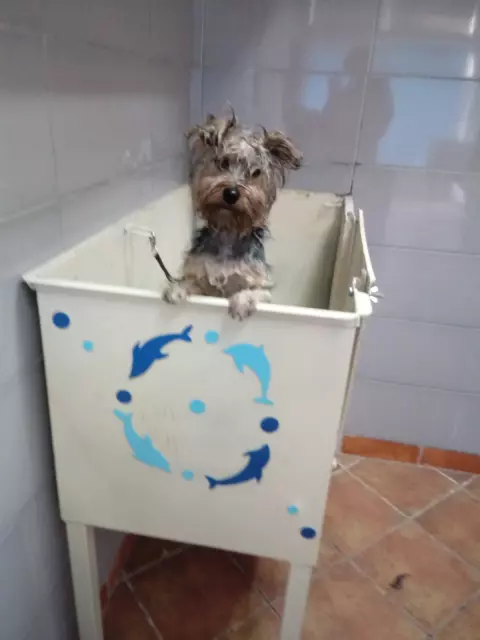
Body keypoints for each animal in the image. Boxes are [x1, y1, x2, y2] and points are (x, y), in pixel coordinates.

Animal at [163, 109, 303, 320]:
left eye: (256, 172)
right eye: (223, 162)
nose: (231, 193)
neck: (228, 229)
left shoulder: (261, 285)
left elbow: (255, 292)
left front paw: (242, 302)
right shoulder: (202, 279)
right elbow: (191, 282)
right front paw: (177, 288)